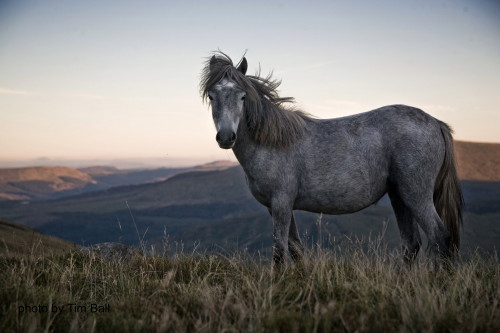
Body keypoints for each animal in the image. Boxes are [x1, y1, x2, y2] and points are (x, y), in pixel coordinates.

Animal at [199, 51, 464, 264]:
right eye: (211, 96)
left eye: (242, 96)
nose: (226, 137)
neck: (272, 142)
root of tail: (436, 123)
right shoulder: (277, 207)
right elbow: (295, 249)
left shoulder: (281, 203)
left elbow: (279, 252)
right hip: (400, 196)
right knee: (411, 244)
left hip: (417, 195)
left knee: (440, 238)